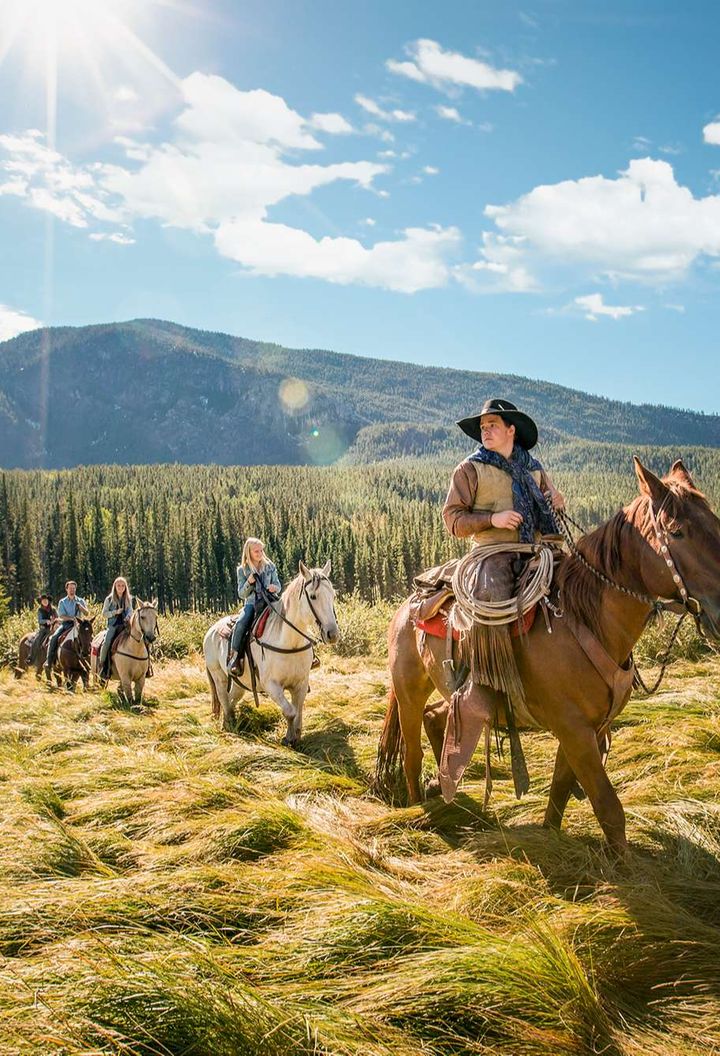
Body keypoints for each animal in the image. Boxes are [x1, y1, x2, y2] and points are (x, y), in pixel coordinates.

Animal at [201, 561, 335, 743]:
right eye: (313, 596)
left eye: (333, 595)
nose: (332, 634)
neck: (289, 643)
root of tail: (210, 631)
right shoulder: (271, 685)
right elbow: (290, 712)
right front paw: (288, 739)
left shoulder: (301, 683)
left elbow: (298, 712)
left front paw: (295, 736)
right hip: (218, 676)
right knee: (224, 700)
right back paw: (228, 727)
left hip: (239, 682)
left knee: (231, 699)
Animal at [375, 458, 717, 853]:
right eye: (676, 532)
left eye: (715, 521)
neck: (585, 620)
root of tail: (410, 602)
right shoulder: (575, 730)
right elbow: (609, 809)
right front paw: (624, 865)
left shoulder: (587, 729)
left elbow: (560, 791)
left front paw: (551, 838)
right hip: (408, 692)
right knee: (412, 756)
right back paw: (420, 811)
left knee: (440, 717)